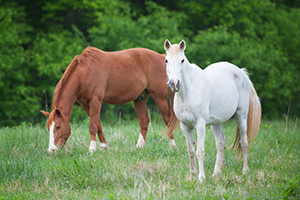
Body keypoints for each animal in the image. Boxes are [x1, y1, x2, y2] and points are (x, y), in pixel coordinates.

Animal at [39, 47, 176, 153]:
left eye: (58, 126)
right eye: (48, 127)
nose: (51, 150)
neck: (85, 72)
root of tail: (161, 57)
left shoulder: (96, 100)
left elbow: (93, 125)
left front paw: (92, 149)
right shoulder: (85, 104)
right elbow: (98, 123)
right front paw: (104, 146)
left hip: (159, 96)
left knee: (168, 119)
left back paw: (172, 146)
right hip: (139, 99)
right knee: (144, 121)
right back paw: (139, 146)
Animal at [163, 39, 262, 184]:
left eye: (182, 60)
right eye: (166, 60)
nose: (174, 83)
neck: (189, 91)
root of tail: (241, 72)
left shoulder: (200, 124)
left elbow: (199, 151)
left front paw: (201, 178)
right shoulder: (185, 126)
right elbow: (191, 151)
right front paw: (192, 176)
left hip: (241, 116)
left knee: (244, 143)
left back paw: (245, 171)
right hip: (216, 123)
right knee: (220, 143)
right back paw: (216, 173)